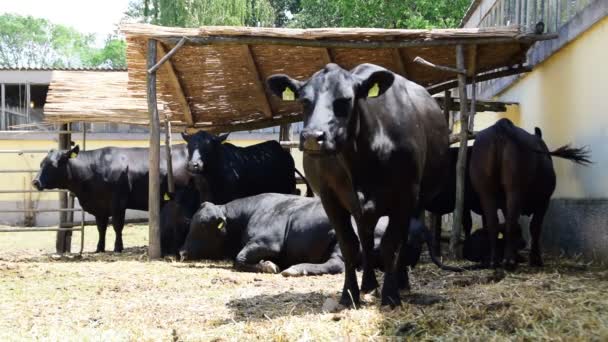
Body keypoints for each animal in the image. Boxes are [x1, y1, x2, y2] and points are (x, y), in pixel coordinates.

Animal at [33, 143, 190, 252]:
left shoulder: (118, 203)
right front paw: (99, 248)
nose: (35, 182)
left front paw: (118, 247)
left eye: (53, 165)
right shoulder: (100, 207)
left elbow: (117, 226)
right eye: (41, 163)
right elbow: (101, 228)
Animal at [268, 62, 448, 308]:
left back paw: (400, 283)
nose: (313, 137)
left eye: (345, 100)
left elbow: (391, 245)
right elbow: (350, 246)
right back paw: (368, 285)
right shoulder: (330, 198)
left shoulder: (406, 195)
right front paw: (349, 294)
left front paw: (390, 296)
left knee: (401, 240)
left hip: (415, 204)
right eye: (304, 101)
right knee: (366, 237)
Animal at [468, 118, 592, 270]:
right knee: (511, 222)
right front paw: (536, 259)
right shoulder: (544, 201)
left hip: (486, 190)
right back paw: (509, 261)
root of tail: (501, 125)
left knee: (494, 223)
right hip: (515, 188)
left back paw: (494, 261)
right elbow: (535, 227)